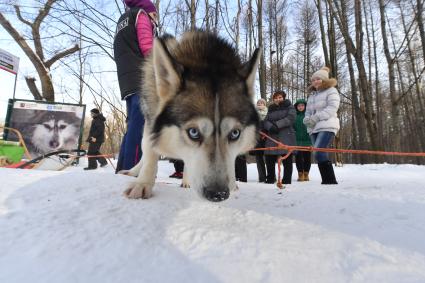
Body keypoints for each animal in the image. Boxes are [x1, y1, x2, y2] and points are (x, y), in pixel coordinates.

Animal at [122, 31, 260, 202]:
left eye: (235, 133)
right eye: (193, 132)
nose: (218, 194)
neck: (207, 56)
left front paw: (233, 183)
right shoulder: (151, 119)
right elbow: (150, 154)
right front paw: (143, 183)